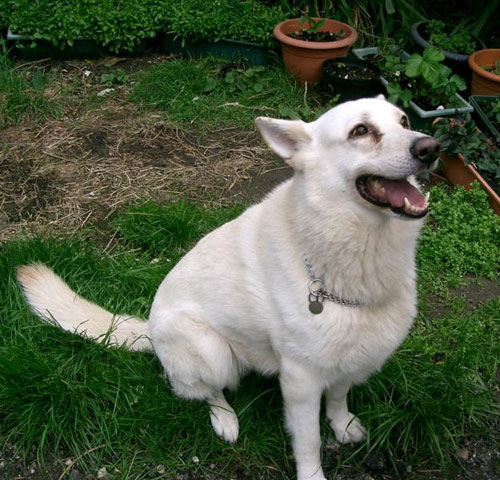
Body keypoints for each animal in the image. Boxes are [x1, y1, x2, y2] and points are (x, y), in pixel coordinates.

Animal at [17, 97, 438, 480]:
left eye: (404, 120)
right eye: (360, 131)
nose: (430, 148)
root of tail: (149, 328)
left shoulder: (354, 354)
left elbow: (338, 398)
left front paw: (344, 424)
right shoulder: (300, 381)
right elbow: (309, 443)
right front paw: (313, 471)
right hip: (212, 351)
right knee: (206, 392)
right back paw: (225, 420)